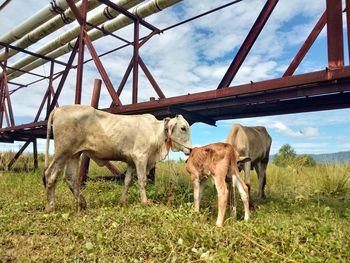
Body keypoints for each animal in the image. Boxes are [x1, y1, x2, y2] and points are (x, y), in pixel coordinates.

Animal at [44, 105, 193, 212]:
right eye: (183, 128)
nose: (191, 150)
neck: (155, 132)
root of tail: (58, 109)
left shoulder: (131, 161)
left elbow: (127, 181)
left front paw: (122, 201)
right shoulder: (141, 158)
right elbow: (142, 181)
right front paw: (145, 202)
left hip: (74, 154)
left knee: (70, 178)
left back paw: (82, 203)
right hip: (62, 152)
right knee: (51, 175)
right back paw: (51, 206)